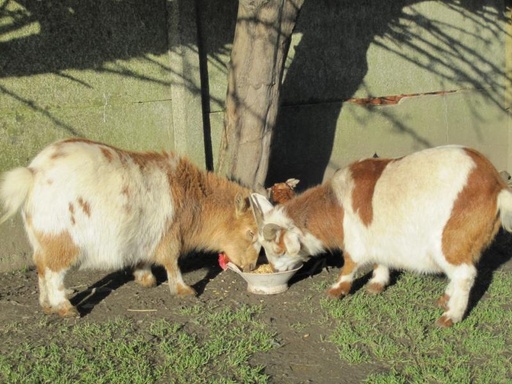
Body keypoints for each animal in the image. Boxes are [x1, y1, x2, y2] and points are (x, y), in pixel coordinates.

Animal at [0, 138, 258, 318]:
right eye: (251, 232)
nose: (252, 266)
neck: (191, 196)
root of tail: (33, 174)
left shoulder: (144, 235)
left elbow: (143, 258)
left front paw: (146, 279)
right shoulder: (169, 236)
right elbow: (172, 263)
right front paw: (184, 290)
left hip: (42, 240)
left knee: (41, 268)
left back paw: (46, 305)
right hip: (62, 241)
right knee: (54, 273)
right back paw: (66, 308)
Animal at [251, 146, 512, 326]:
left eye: (278, 250)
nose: (274, 270)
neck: (336, 204)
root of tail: (496, 185)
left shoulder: (355, 239)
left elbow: (350, 263)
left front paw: (336, 290)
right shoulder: (377, 238)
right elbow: (379, 260)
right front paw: (376, 284)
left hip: (450, 241)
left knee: (465, 275)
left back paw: (451, 315)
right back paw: (446, 299)